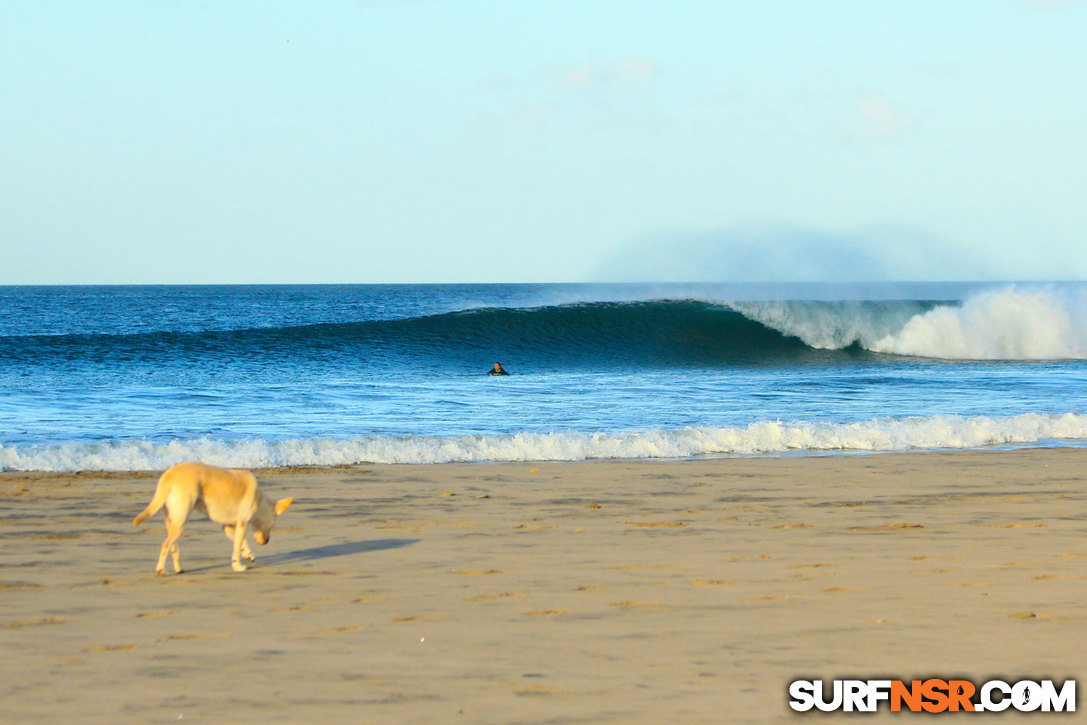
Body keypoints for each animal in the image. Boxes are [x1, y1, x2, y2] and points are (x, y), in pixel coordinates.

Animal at [132, 463, 293, 573]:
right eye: (272, 526)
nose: (266, 542)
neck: (260, 500)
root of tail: (168, 476)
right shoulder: (242, 524)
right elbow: (236, 547)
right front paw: (237, 566)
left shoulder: (229, 526)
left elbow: (240, 543)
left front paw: (248, 554)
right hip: (180, 523)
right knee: (165, 545)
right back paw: (160, 570)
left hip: (173, 523)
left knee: (173, 547)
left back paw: (179, 569)